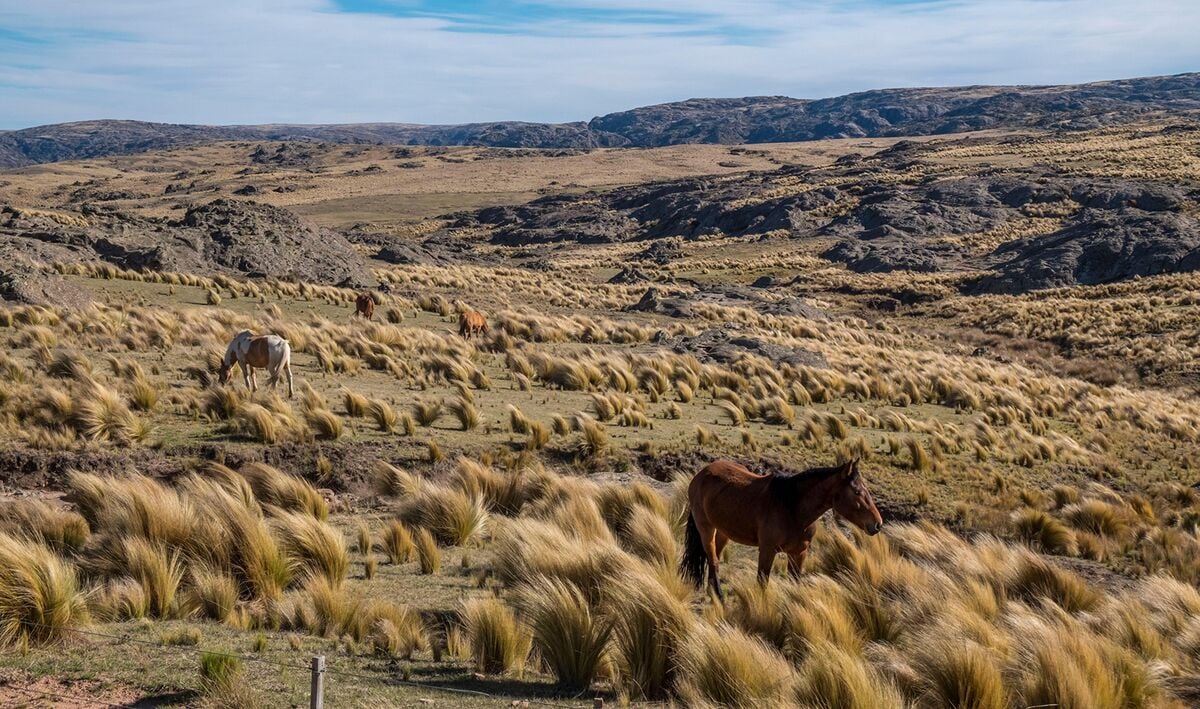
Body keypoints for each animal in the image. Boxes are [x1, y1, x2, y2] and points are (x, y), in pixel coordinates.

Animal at [681, 458, 883, 601]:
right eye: (857, 492)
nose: (877, 524)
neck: (792, 508)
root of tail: (701, 474)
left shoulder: (799, 552)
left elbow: (795, 582)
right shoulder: (767, 550)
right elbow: (762, 581)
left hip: (723, 532)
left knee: (714, 557)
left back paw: (712, 593)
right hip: (706, 528)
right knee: (713, 559)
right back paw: (720, 597)